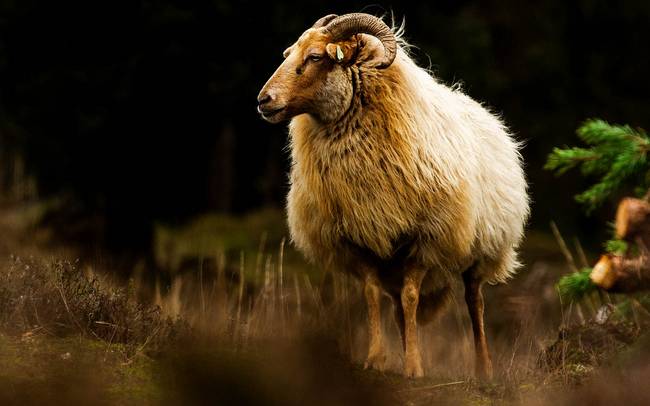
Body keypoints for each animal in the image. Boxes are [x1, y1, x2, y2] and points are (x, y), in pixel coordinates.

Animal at [253, 13, 528, 380]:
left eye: (314, 56)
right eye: (288, 53)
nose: (263, 100)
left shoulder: (425, 238)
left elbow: (412, 297)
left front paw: (414, 367)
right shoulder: (360, 238)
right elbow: (372, 296)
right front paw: (378, 360)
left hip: (481, 249)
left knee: (474, 302)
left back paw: (483, 368)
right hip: (394, 262)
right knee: (398, 308)